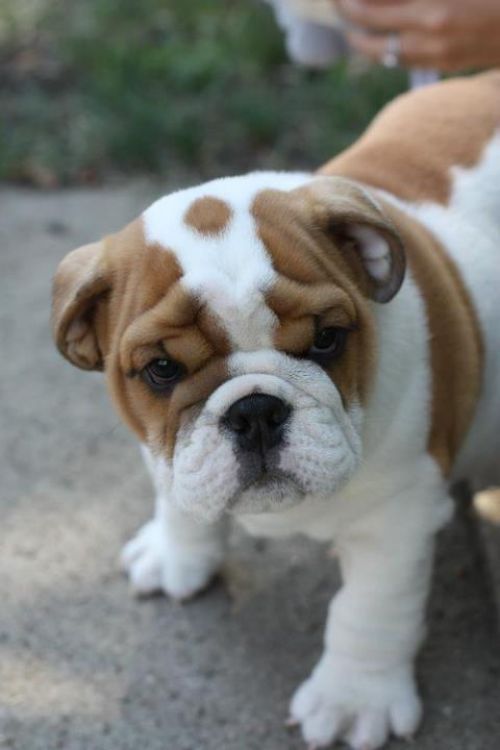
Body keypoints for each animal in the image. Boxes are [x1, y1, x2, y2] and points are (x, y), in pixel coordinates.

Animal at [52, 72, 500, 750]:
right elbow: (178, 497)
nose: (255, 411)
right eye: (162, 369)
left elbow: (369, 610)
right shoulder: (164, 450)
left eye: (326, 340)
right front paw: (177, 553)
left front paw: (352, 699)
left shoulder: (397, 518)